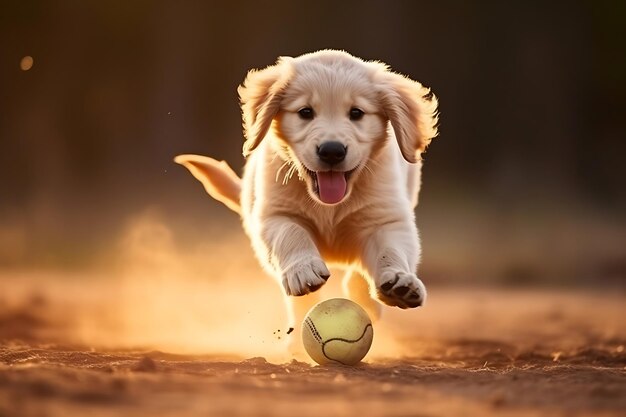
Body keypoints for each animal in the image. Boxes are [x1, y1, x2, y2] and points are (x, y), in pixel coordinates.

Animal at [176, 49, 436, 334]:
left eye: (356, 113)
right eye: (305, 112)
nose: (332, 151)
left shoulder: (386, 217)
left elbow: (391, 250)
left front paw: (400, 281)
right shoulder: (275, 215)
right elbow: (292, 234)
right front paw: (303, 270)